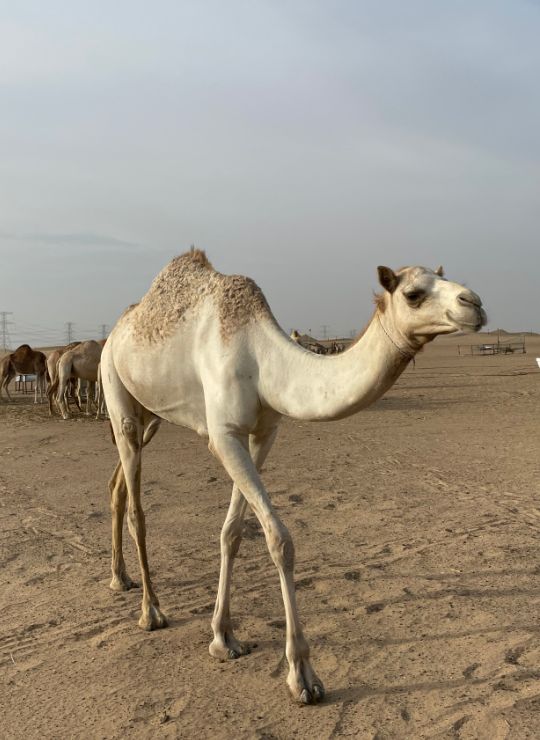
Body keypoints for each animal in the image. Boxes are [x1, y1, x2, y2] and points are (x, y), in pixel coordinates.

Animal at [101, 249, 486, 705]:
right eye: (413, 293)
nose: (474, 304)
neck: (264, 362)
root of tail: (113, 333)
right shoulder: (223, 435)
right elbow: (279, 540)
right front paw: (302, 675)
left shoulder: (263, 432)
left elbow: (232, 532)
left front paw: (223, 637)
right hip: (116, 392)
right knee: (137, 508)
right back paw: (150, 610)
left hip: (151, 416)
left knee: (117, 485)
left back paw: (119, 578)